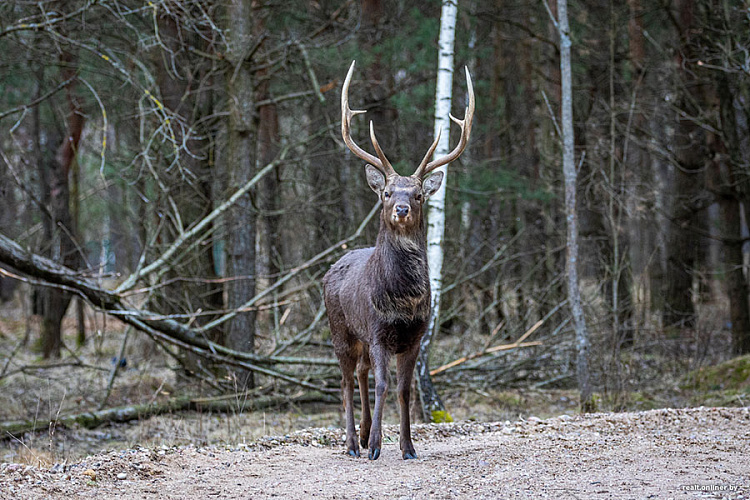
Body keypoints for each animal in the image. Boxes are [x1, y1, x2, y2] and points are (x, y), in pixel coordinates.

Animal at [324, 60, 476, 458]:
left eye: (420, 194)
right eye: (388, 192)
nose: (403, 208)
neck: (402, 300)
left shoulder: (414, 336)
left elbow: (405, 390)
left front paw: (408, 446)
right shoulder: (378, 331)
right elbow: (383, 386)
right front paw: (377, 446)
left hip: (359, 337)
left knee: (361, 374)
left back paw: (362, 435)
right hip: (340, 329)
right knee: (346, 381)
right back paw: (353, 443)